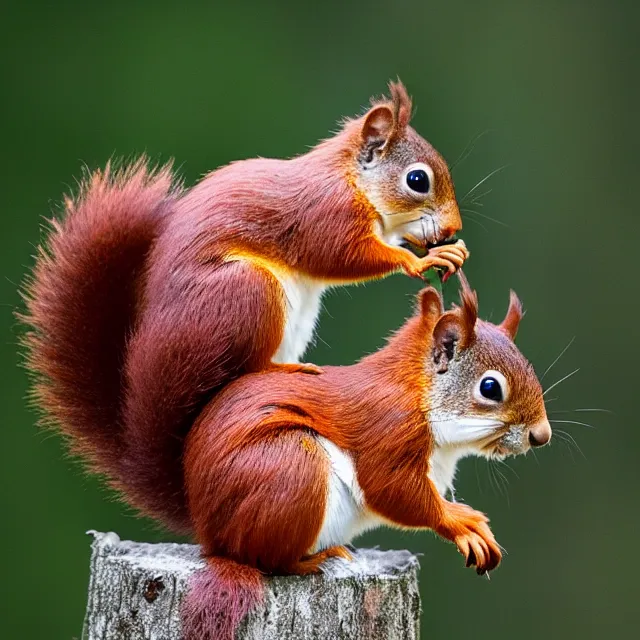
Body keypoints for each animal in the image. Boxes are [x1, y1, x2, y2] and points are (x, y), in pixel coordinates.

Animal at [22, 80, 468, 532]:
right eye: (417, 179)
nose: (453, 229)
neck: (349, 178)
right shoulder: (326, 212)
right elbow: (343, 255)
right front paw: (419, 259)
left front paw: (442, 249)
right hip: (249, 292)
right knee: (244, 365)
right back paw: (281, 370)